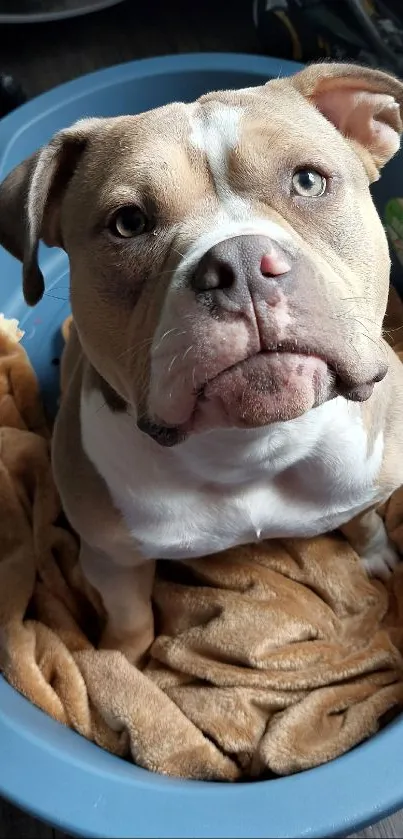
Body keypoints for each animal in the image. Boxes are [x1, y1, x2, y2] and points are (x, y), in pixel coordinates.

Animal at [0, 60, 403, 664]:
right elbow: (132, 619)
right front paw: (123, 664)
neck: (252, 448)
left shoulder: (367, 481)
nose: (241, 264)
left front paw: (375, 553)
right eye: (128, 222)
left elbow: (364, 519)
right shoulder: (111, 558)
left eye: (308, 181)